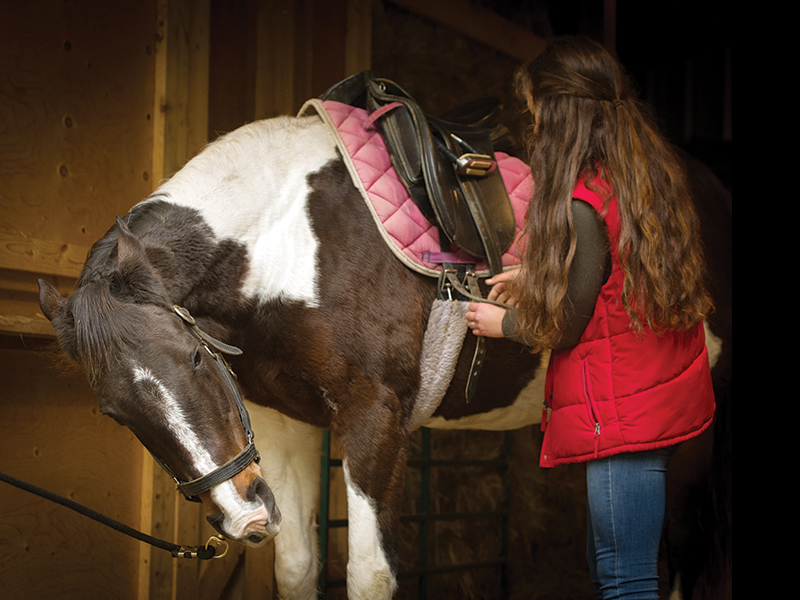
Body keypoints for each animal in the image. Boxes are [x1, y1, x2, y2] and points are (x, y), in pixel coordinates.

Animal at [36, 101, 731, 599]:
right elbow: (297, 566)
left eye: (195, 359)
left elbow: (369, 574)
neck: (290, 241)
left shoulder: (374, 419)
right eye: (116, 415)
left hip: (691, 437)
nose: (242, 519)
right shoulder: (284, 425)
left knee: (681, 547)